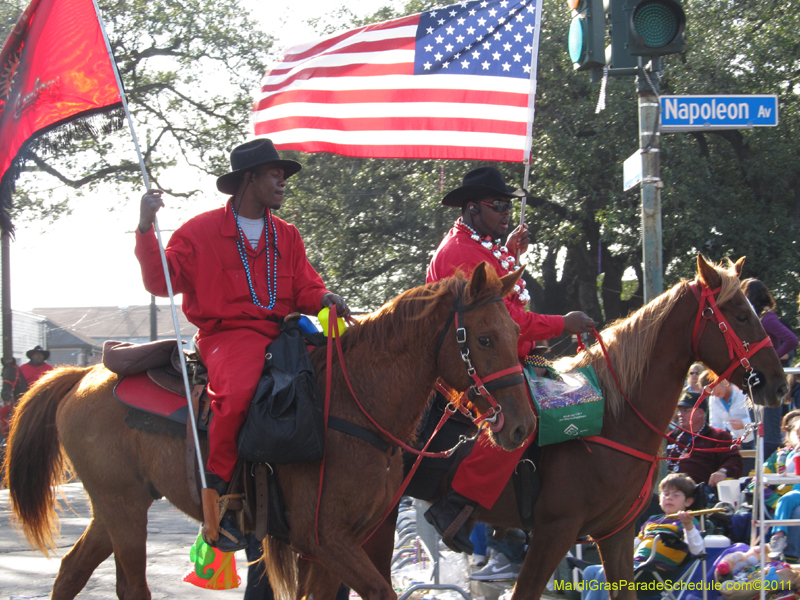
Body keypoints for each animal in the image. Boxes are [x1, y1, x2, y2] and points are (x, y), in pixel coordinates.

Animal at [3, 262, 536, 600]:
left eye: (516, 333)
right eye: (484, 338)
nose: (523, 426)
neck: (353, 407)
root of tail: (86, 374)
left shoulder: (338, 546)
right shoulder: (327, 540)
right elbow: (381, 591)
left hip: (115, 508)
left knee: (71, 572)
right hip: (124, 507)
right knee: (131, 586)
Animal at [366, 255, 792, 600]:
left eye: (755, 313)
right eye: (740, 316)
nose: (778, 384)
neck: (612, 418)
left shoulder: (616, 533)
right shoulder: (555, 531)